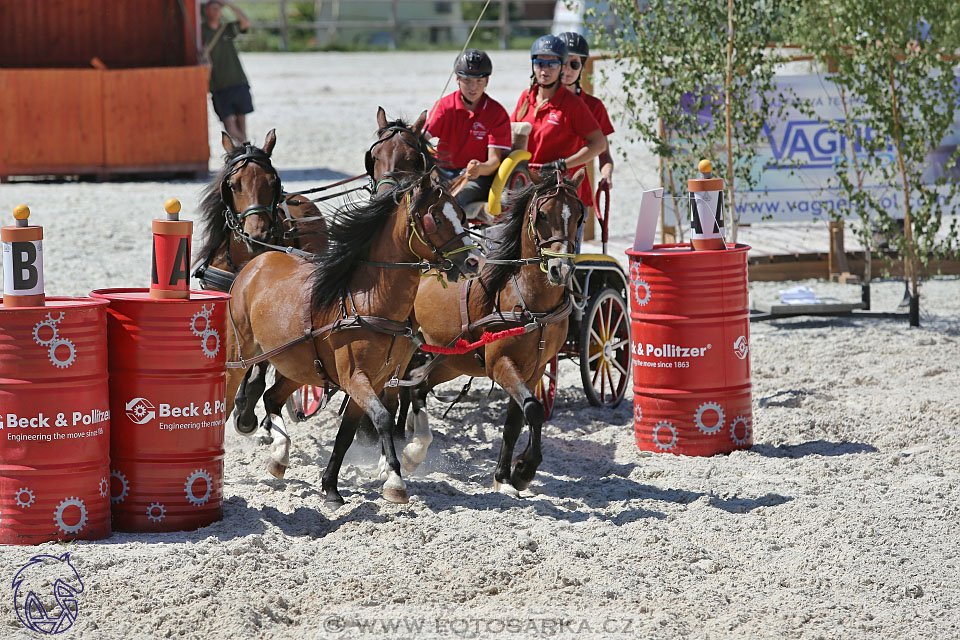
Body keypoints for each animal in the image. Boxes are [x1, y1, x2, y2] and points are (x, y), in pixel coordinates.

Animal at [223, 169, 480, 504]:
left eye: (461, 215)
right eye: (435, 217)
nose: (474, 261)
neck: (368, 302)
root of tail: (255, 263)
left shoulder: (378, 378)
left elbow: (348, 432)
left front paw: (331, 486)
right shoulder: (355, 377)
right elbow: (382, 418)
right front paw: (395, 480)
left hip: (298, 365)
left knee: (272, 397)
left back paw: (279, 456)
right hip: (241, 354)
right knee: (233, 395)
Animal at [398, 169, 584, 496]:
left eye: (577, 215)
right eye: (543, 215)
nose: (560, 269)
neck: (530, 301)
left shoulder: (533, 370)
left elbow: (515, 422)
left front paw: (505, 476)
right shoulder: (500, 364)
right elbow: (534, 410)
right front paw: (524, 469)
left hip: (450, 360)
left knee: (415, 386)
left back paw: (415, 448)